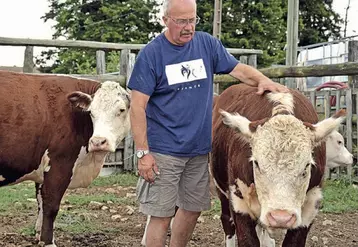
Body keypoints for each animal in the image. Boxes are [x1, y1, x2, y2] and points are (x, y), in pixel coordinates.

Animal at [0, 70, 131, 247]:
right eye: (91, 112)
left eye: (121, 110)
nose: (98, 141)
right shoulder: (60, 163)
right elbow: (51, 205)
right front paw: (48, 241)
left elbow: (40, 201)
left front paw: (38, 234)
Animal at [211, 84, 346, 246]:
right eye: (256, 163)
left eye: (307, 166)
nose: (280, 217)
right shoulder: (239, 202)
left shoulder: (310, 207)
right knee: (227, 221)